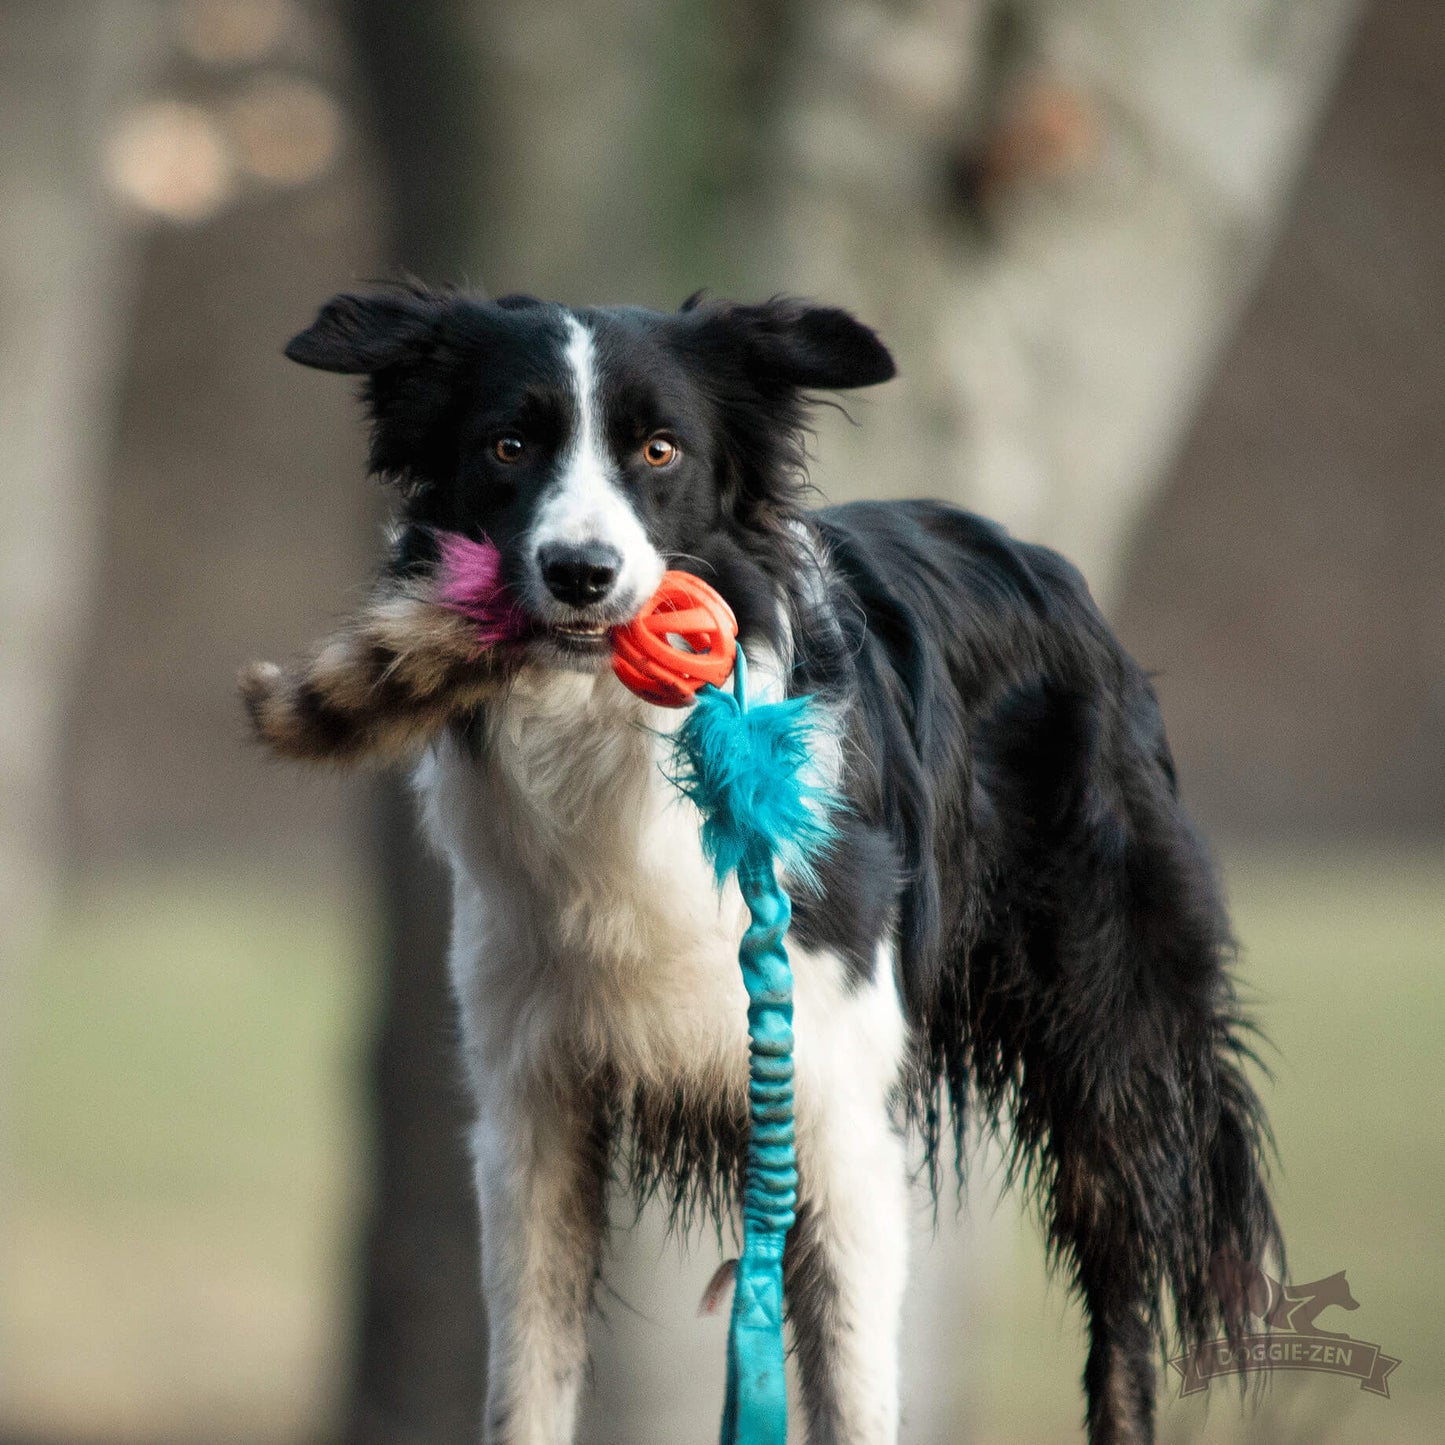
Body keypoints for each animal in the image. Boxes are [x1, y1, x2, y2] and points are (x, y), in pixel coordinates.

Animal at [254, 284, 1283, 1445]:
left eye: (659, 448)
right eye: (506, 445)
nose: (580, 574)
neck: (610, 740)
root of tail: (1048, 566)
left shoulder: (834, 1107)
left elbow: (852, 1391)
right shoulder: (533, 1110)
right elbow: (528, 1386)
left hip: (1111, 1052)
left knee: (1121, 1311)